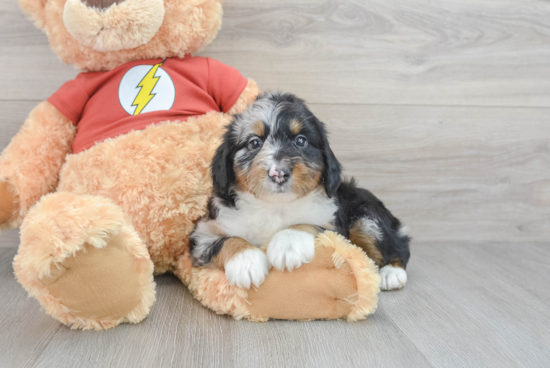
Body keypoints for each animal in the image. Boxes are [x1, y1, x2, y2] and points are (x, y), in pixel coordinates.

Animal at [190, 91, 410, 290]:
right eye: (254, 143)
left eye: (301, 141)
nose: (278, 173)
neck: (274, 207)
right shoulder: (203, 233)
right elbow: (227, 241)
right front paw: (246, 262)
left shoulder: (333, 225)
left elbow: (307, 223)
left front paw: (288, 245)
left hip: (368, 219)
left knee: (400, 245)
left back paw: (392, 273)